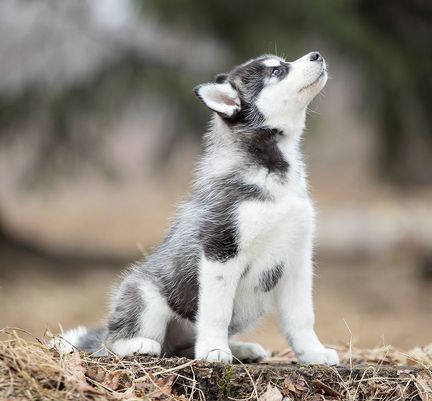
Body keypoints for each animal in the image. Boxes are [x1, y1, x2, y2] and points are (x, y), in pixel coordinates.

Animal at [59, 50, 340, 366]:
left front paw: (313, 352)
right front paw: (214, 351)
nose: (317, 54)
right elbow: (217, 312)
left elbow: (302, 317)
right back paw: (139, 344)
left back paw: (239, 349)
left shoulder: (296, 259)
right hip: (145, 295)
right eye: (276, 71)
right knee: (118, 340)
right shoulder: (220, 249)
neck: (272, 173)